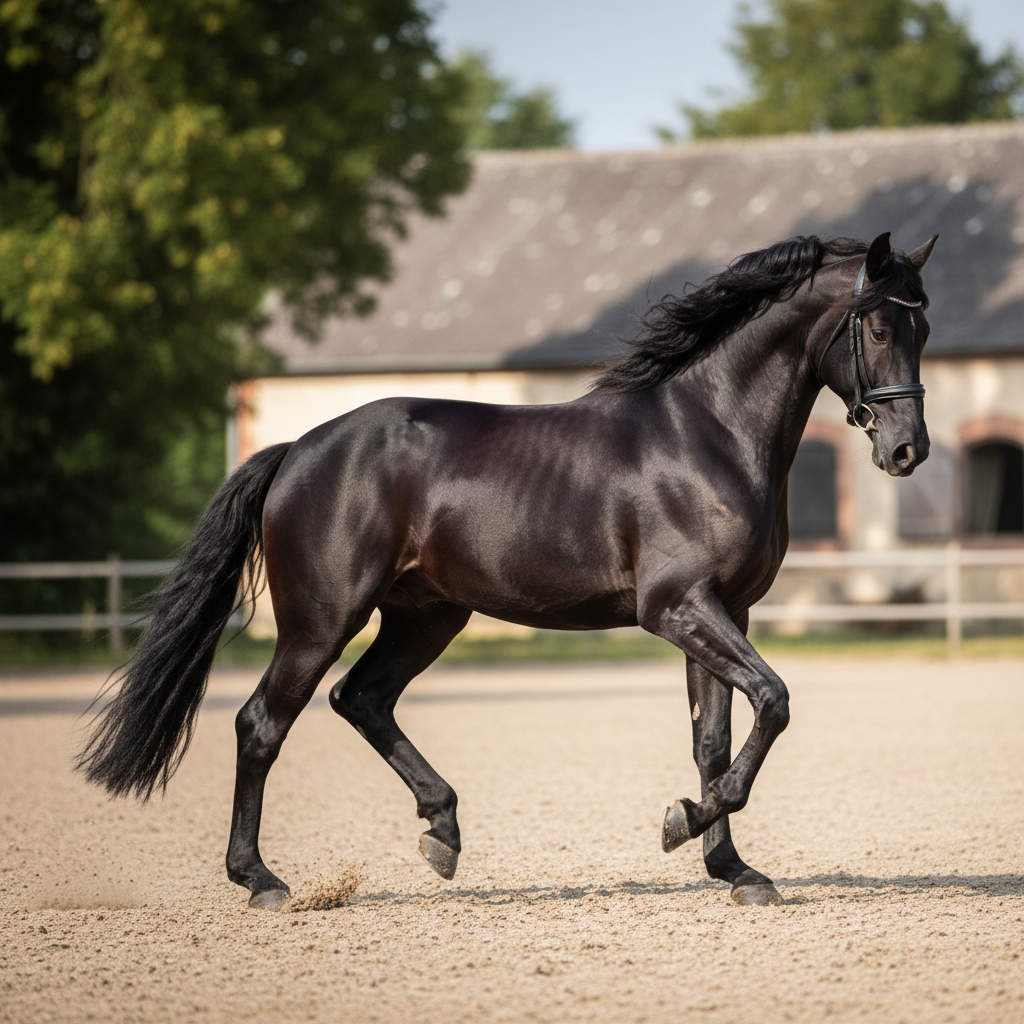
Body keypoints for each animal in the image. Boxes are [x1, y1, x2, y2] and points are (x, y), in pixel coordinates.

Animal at [78, 230, 937, 909]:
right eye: (877, 324)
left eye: (925, 327)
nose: (908, 451)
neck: (710, 433)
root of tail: (298, 451)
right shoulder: (679, 607)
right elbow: (774, 702)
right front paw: (681, 823)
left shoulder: (727, 609)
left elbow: (717, 739)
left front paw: (735, 870)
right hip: (322, 620)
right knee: (263, 723)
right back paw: (262, 880)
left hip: (427, 614)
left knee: (362, 698)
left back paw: (442, 831)